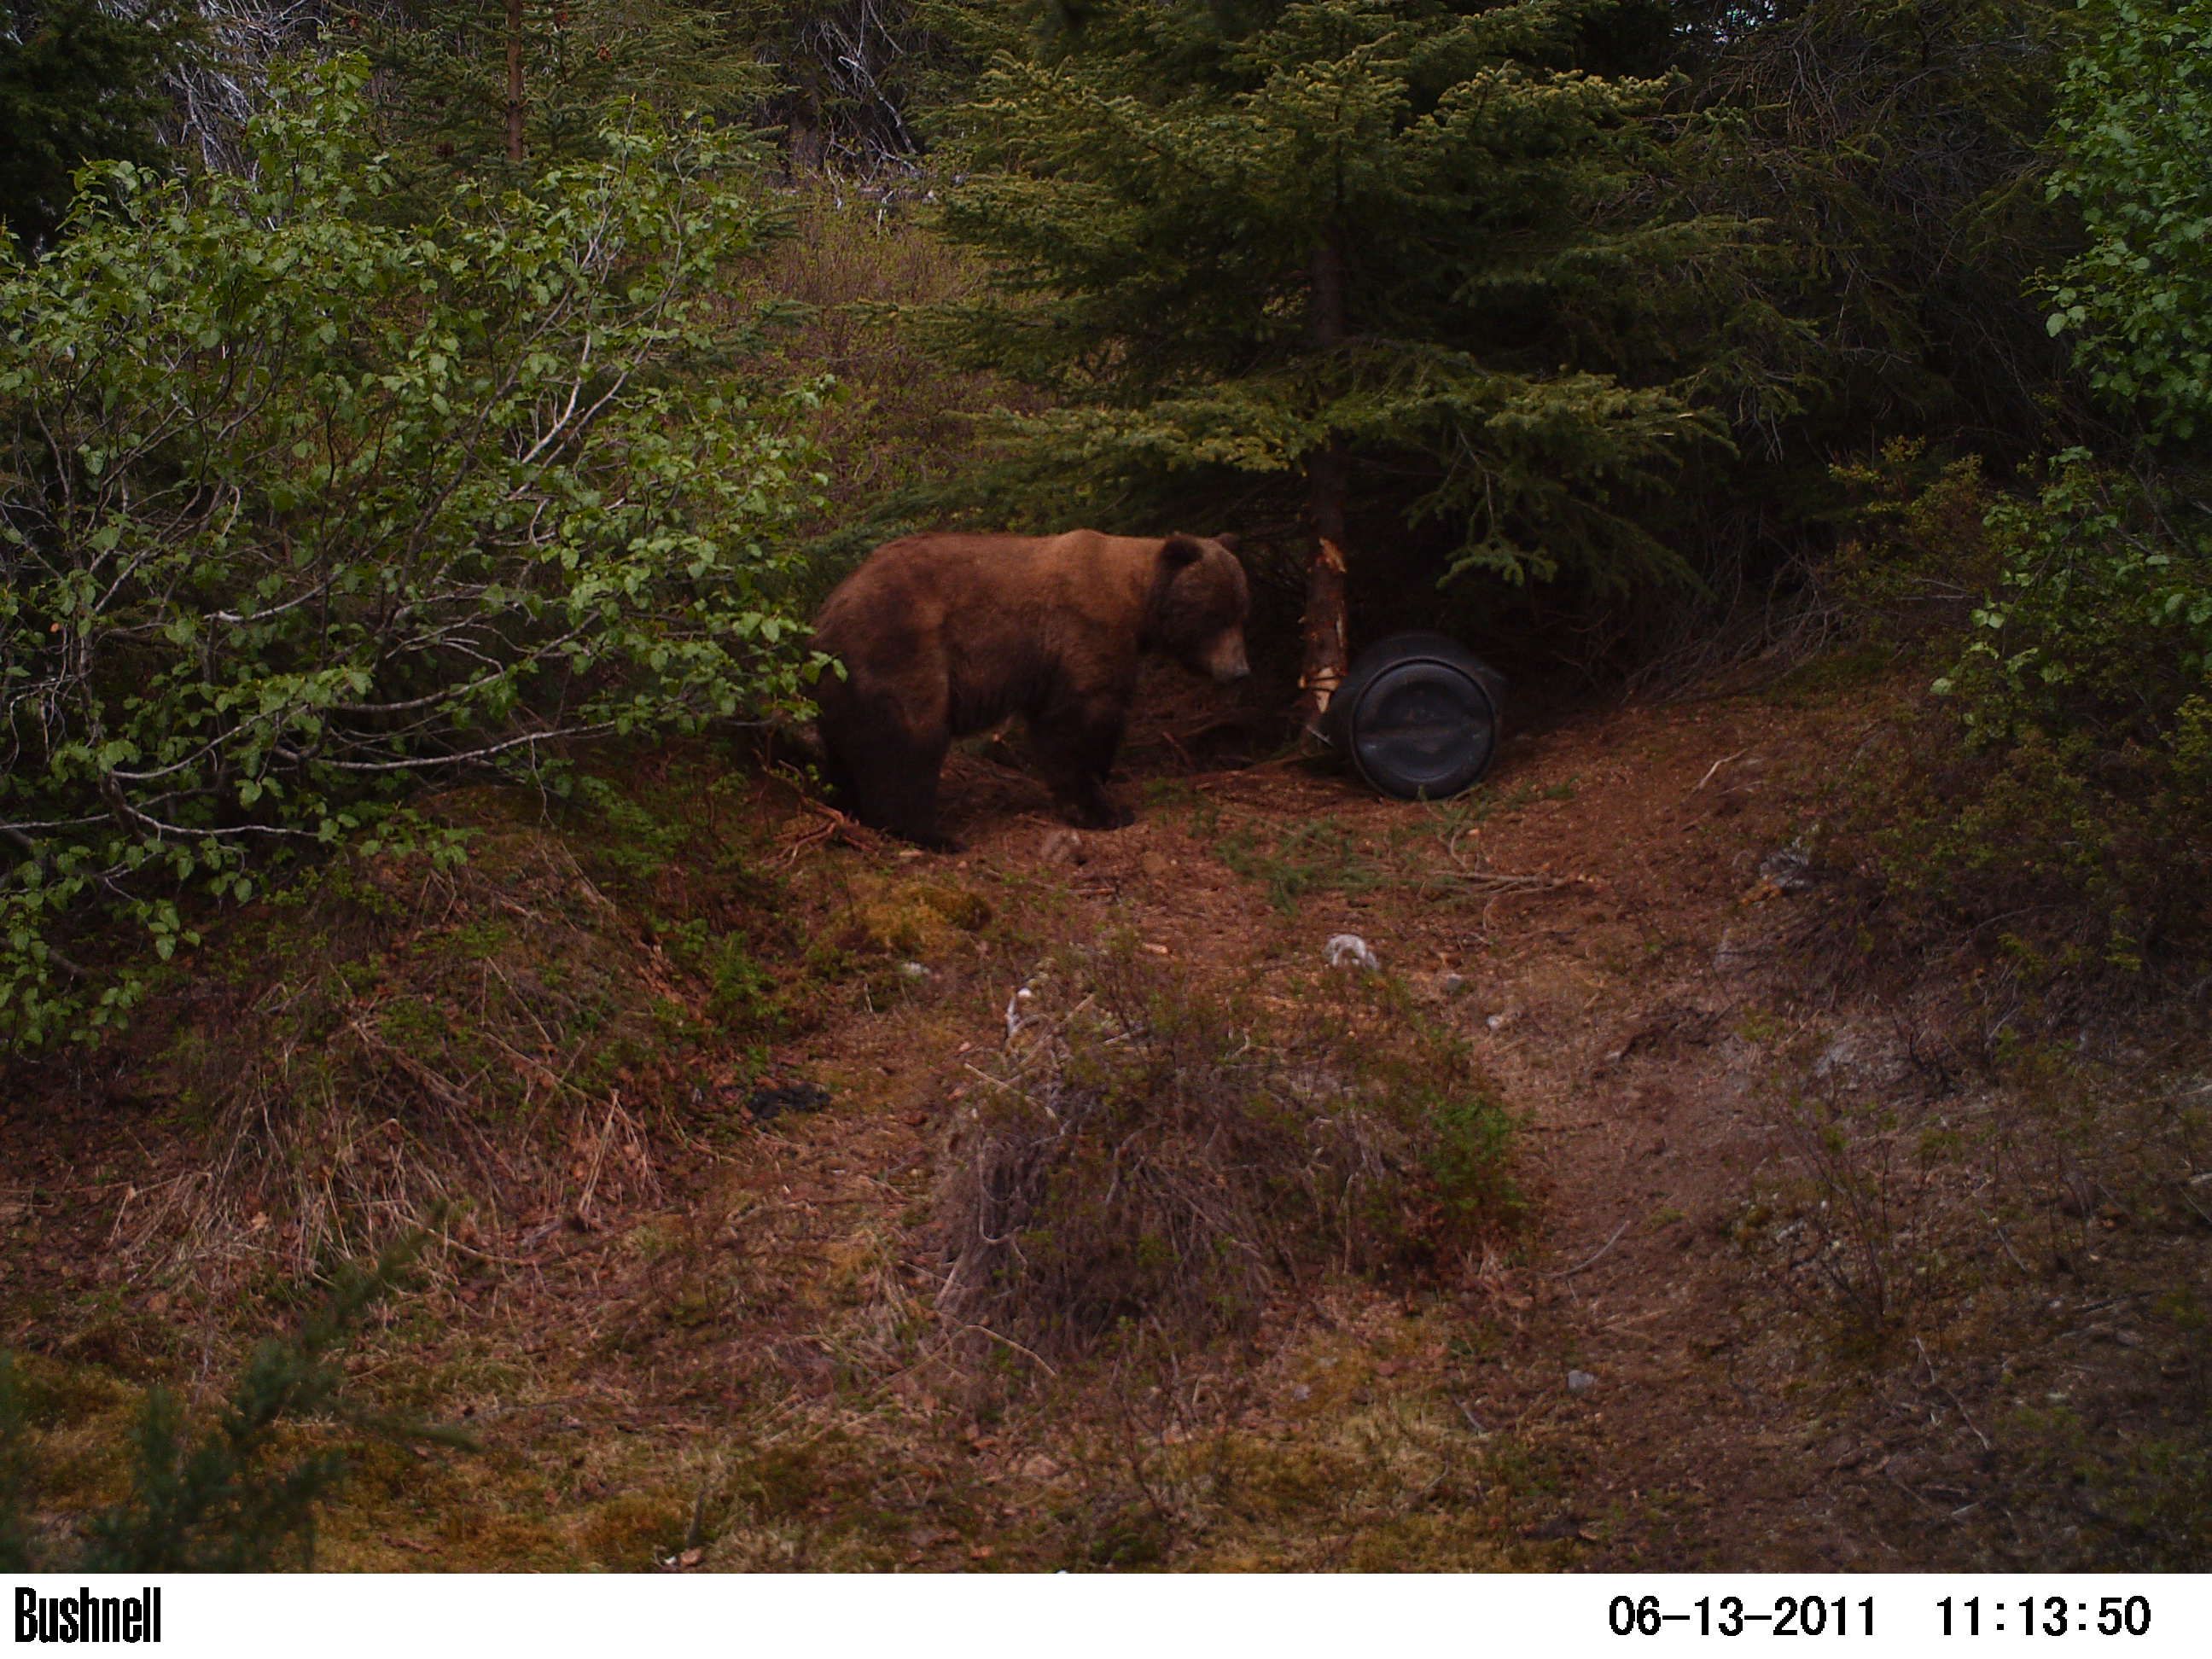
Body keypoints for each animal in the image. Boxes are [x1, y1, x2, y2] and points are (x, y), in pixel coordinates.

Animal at [813, 533, 1256, 849]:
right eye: (1215, 615)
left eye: (1242, 610)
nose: (1239, 671)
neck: (1137, 601)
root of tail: (828, 611)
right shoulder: (1083, 634)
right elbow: (1076, 725)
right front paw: (1103, 809)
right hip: (903, 648)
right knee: (910, 740)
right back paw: (930, 834)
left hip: (842, 681)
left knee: (847, 747)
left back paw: (847, 805)